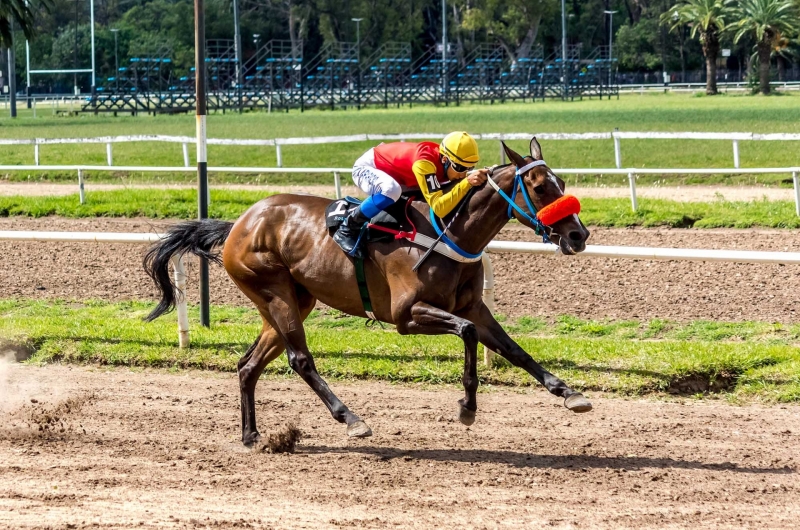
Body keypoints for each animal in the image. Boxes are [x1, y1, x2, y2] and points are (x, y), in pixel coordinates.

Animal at [144, 138, 592, 444]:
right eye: (539, 187)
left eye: (561, 182)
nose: (578, 235)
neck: (449, 232)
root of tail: (239, 223)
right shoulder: (406, 315)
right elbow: (465, 334)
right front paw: (467, 407)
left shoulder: (473, 307)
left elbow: (514, 349)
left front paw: (569, 393)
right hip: (274, 293)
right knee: (300, 359)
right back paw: (351, 419)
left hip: (293, 301)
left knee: (248, 365)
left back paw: (252, 436)